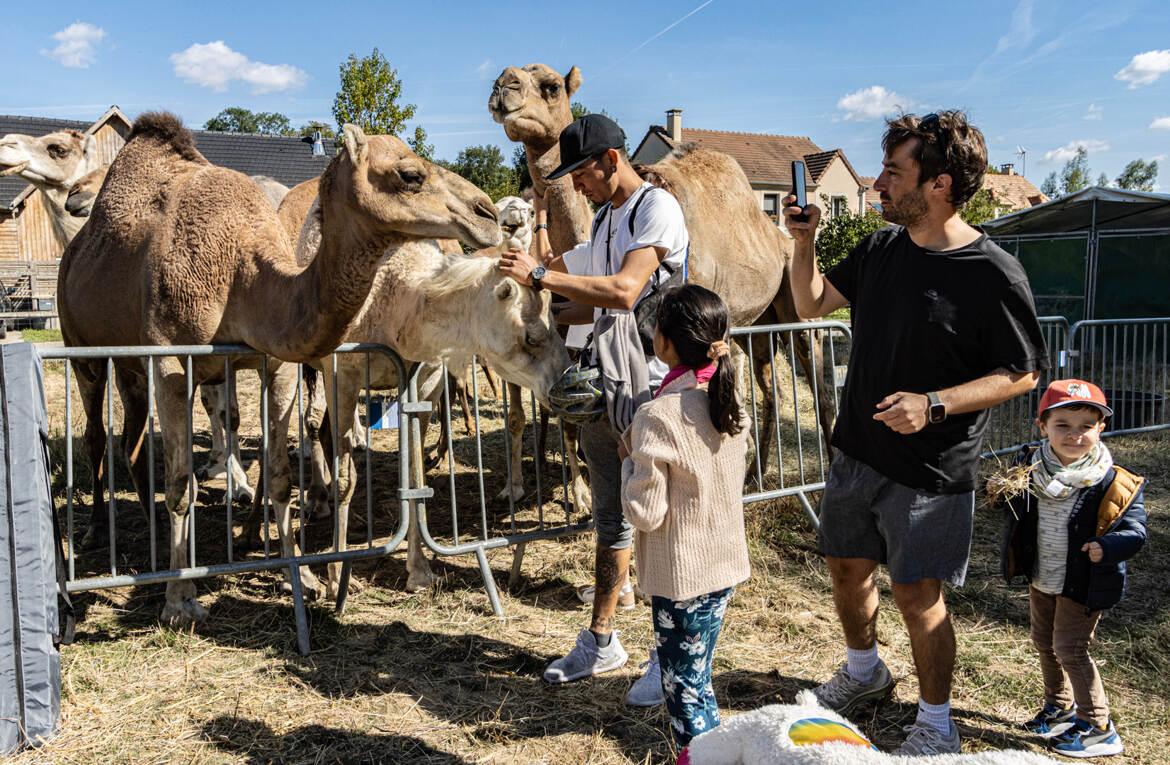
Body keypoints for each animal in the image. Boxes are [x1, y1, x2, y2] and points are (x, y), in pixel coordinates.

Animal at [59, 114, 498, 631]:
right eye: (409, 174)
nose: (488, 213)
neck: (239, 275)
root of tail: (72, 254)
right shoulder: (171, 364)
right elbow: (183, 485)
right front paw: (180, 600)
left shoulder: (281, 364)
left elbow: (280, 474)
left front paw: (303, 579)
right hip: (82, 350)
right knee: (95, 436)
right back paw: (99, 534)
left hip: (130, 367)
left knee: (132, 442)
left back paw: (154, 536)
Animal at [273, 185, 566, 598]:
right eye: (532, 336)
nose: (560, 379)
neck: (399, 296)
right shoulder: (341, 372)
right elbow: (348, 478)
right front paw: (337, 576)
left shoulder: (425, 377)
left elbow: (414, 474)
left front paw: (420, 570)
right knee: (303, 435)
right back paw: (304, 546)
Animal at [489, 62, 837, 477]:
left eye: (551, 86)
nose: (502, 86)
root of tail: (778, 237)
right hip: (757, 321)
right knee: (773, 388)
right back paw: (757, 471)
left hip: (795, 303)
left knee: (819, 383)